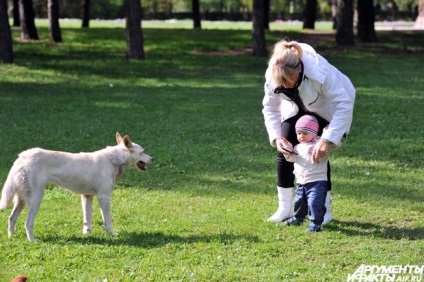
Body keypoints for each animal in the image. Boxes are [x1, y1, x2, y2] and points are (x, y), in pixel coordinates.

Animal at [0, 132, 152, 240]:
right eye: (143, 152)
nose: (152, 158)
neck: (112, 160)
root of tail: (22, 157)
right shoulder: (104, 197)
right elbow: (107, 220)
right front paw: (112, 234)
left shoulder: (87, 197)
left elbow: (87, 220)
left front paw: (87, 234)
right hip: (36, 199)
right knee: (27, 222)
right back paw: (32, 241)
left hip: (21, 200)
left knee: (11, 218)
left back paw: (11, 237)